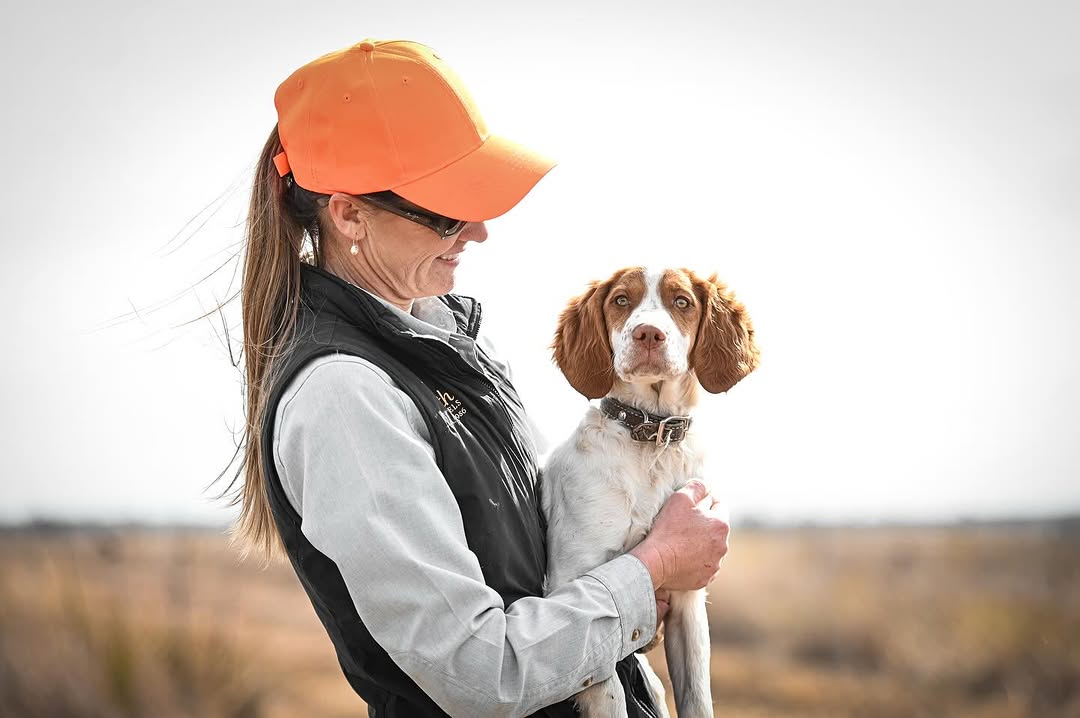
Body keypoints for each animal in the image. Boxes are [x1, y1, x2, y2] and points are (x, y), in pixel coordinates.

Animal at [541, 267, 759, 717]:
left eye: (682, 302)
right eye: (621, 300)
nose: (648, 335)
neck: (650, 437)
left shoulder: (688, 600)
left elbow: (697, 698)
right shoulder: (577, 587)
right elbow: (610, 695)